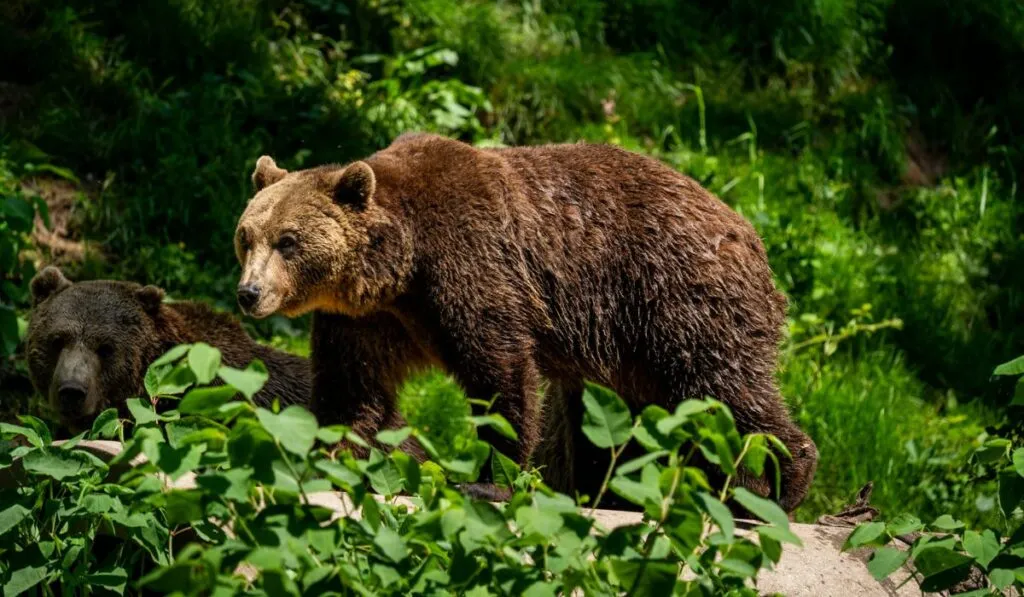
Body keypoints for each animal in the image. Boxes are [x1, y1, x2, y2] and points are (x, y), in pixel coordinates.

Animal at [233, 133, 818, 512]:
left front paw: (492, 479)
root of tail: (749, 232)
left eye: (289, 241)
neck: (401, 266)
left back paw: (781, 482)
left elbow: (501, 374)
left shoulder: (472, 269)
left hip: (676, 300)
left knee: (723, 390)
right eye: (247, 236)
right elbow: (352, 388)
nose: (248, 293)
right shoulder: (370, 320)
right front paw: (329, 457)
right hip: (628, 352)